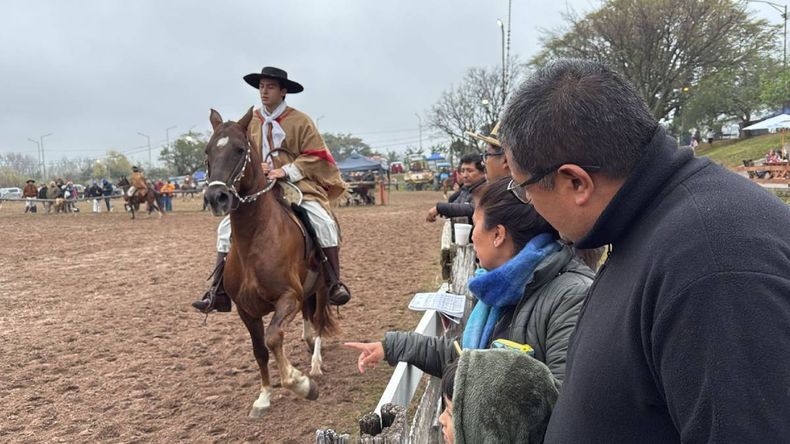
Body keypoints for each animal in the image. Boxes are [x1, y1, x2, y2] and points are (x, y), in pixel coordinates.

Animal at [203, 107, 337, 418]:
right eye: (208, 151)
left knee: (319, 318)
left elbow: (274, 336)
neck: (254, 240)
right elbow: (260, 349)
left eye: (240, 149)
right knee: (309, 319)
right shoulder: (246, 310)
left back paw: (315, 363)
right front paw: (264, 396)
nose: (216, 197)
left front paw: (301, 383)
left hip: (323, 288)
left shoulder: (288, 298)